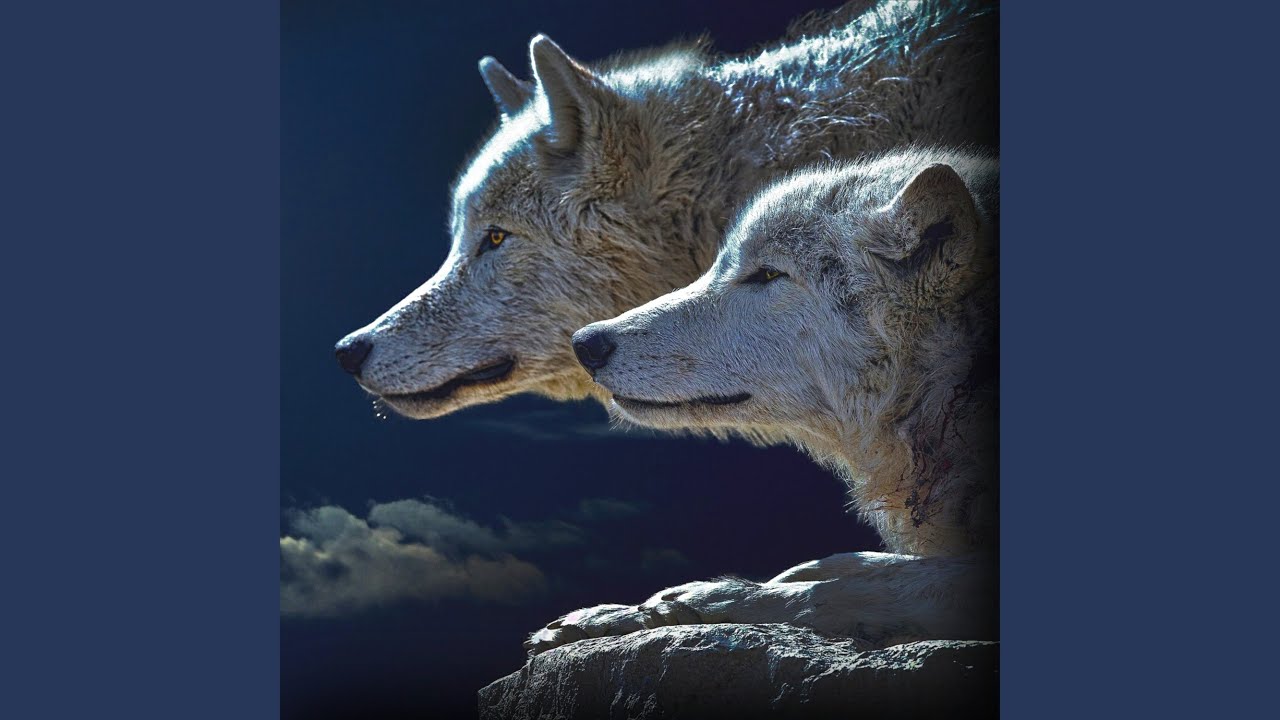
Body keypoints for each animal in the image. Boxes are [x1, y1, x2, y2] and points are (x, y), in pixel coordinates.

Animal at [528, 147, 998, 652]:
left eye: (768, 273)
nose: (585, 343)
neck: (955, 382)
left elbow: (840, 590)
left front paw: (701, 599)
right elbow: (848, 564)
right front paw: (614, 614)